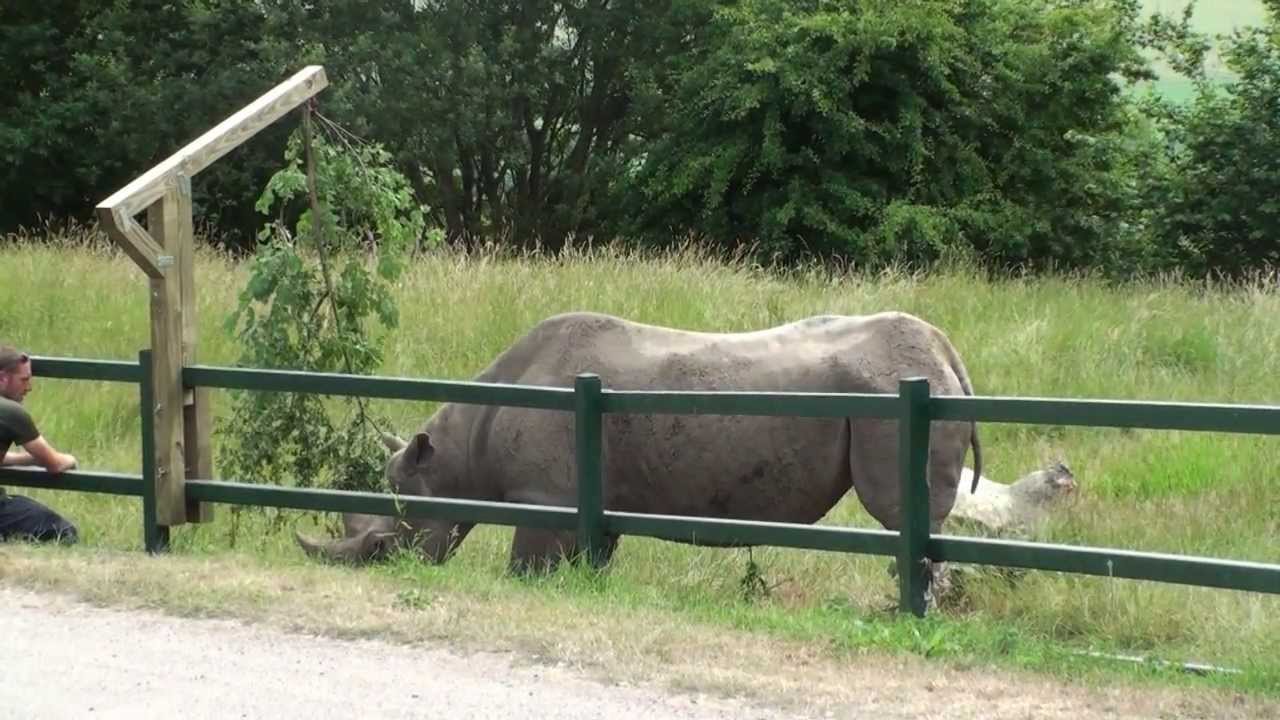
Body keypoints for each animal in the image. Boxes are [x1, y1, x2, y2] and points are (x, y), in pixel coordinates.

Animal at [296, 310, 983, 572]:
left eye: (382, 546)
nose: (372, 568)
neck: (459, 454)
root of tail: (947, 350)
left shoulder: (542, 497)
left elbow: (527, 562)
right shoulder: (590, 497)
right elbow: (590, 557)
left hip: (886, 395)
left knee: (901, 515)